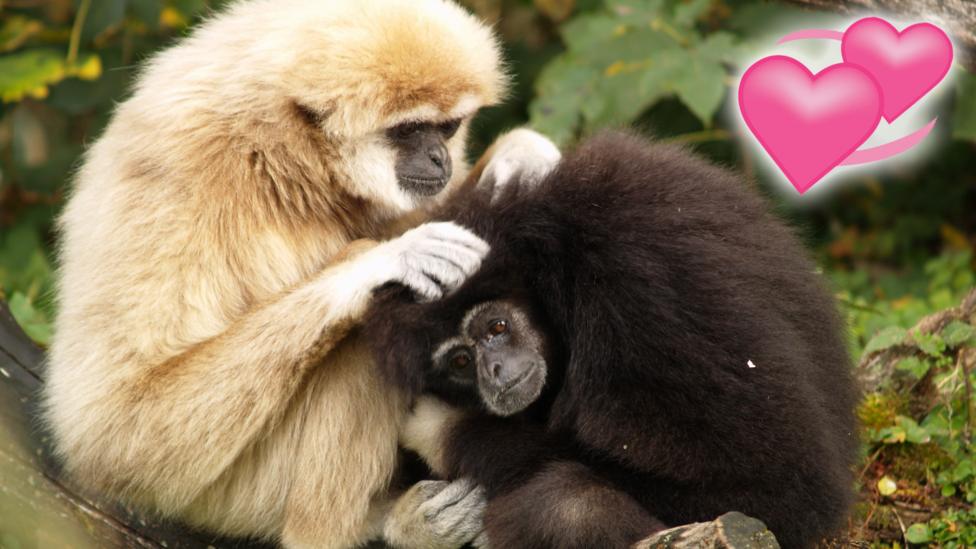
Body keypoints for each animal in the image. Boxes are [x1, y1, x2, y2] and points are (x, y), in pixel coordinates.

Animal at [40, 0, 561, 547]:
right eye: (407, 130)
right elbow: (117, 427)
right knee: (363, 338)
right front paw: (380, 260)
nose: (439, 156)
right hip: (237, 494)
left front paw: (521, 154)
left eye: (448, 127)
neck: (280, 150)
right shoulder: (179, 176)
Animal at [365, 131, 859, 549]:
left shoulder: (641, 289)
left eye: (496, 328)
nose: (495, 370)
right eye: (461, 362)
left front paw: (441, 428)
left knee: (568, 503)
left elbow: (777, 487)